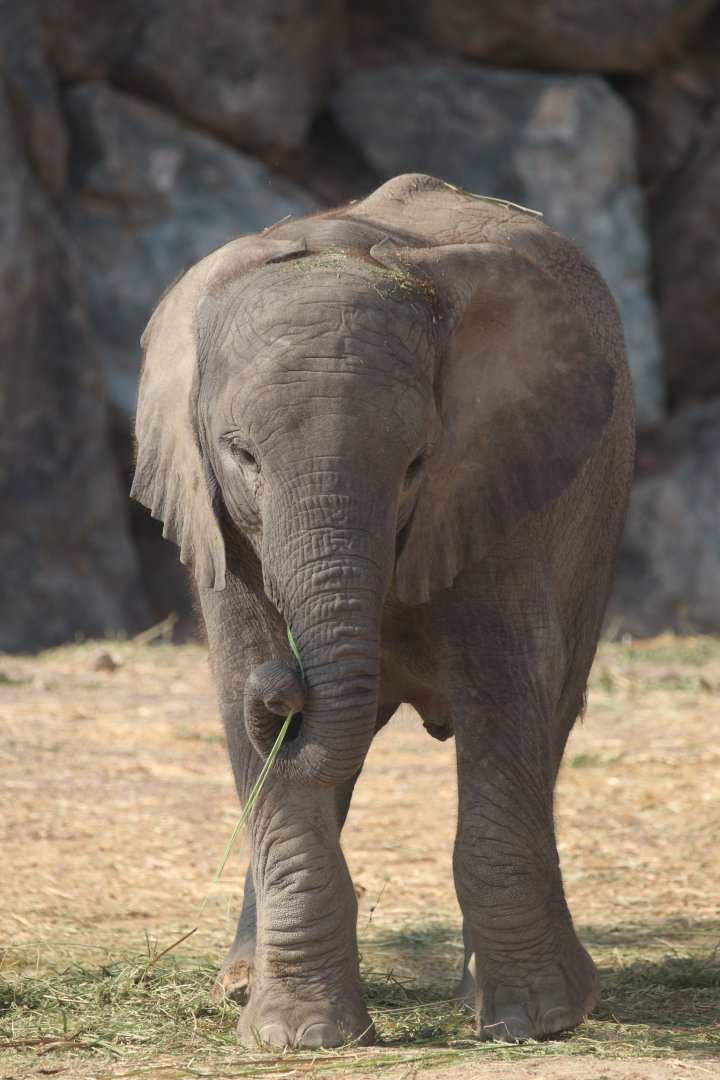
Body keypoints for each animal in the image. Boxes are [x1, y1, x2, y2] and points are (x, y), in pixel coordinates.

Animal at [132, 173, 635, 1048]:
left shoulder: (491, 477)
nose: (287, 683)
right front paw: (297, 1037)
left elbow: (509, 681)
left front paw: (535, 1021)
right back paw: (240, 985)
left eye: (415, 464)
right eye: (241, 454)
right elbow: (243, 693)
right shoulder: (215, 516)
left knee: (551, 711)